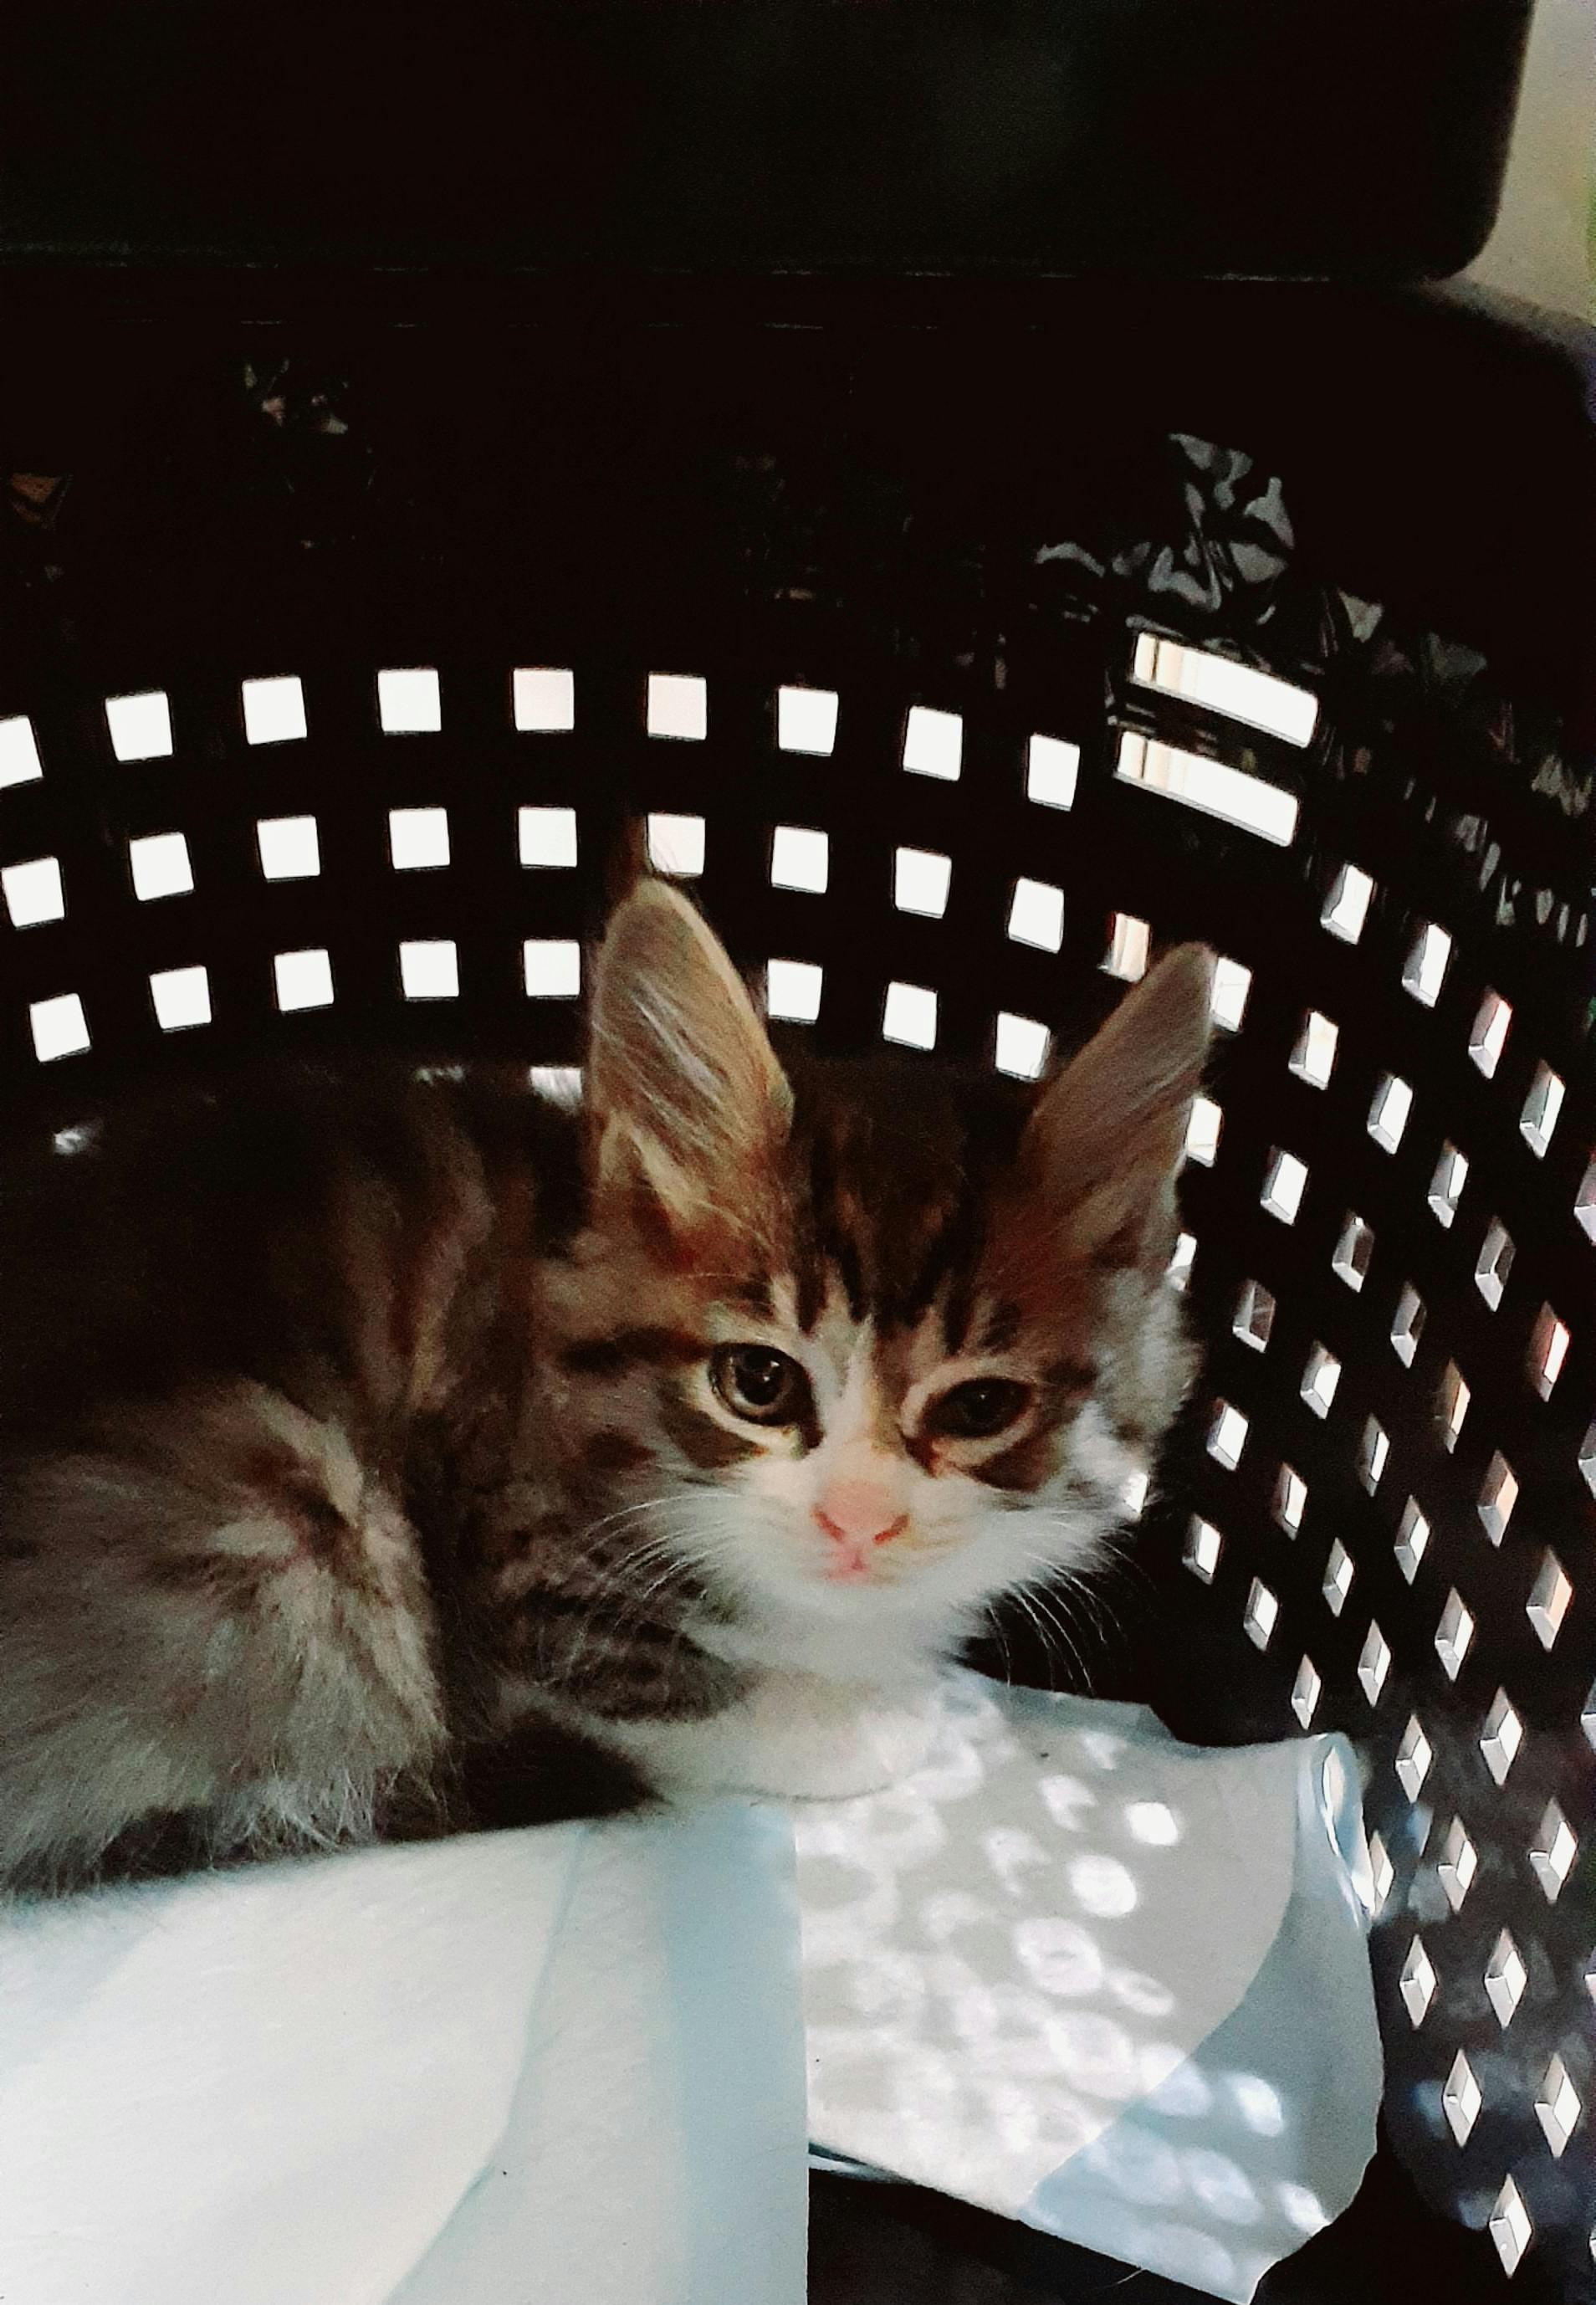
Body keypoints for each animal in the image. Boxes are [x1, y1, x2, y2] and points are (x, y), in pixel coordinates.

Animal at [0, 880, 1212, 1893]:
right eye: (759, 1381)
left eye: (978, 1408)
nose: (857, 1521)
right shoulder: (517, 1577)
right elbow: (690, 1699)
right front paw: (870, 1715)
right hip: (289, 1527)